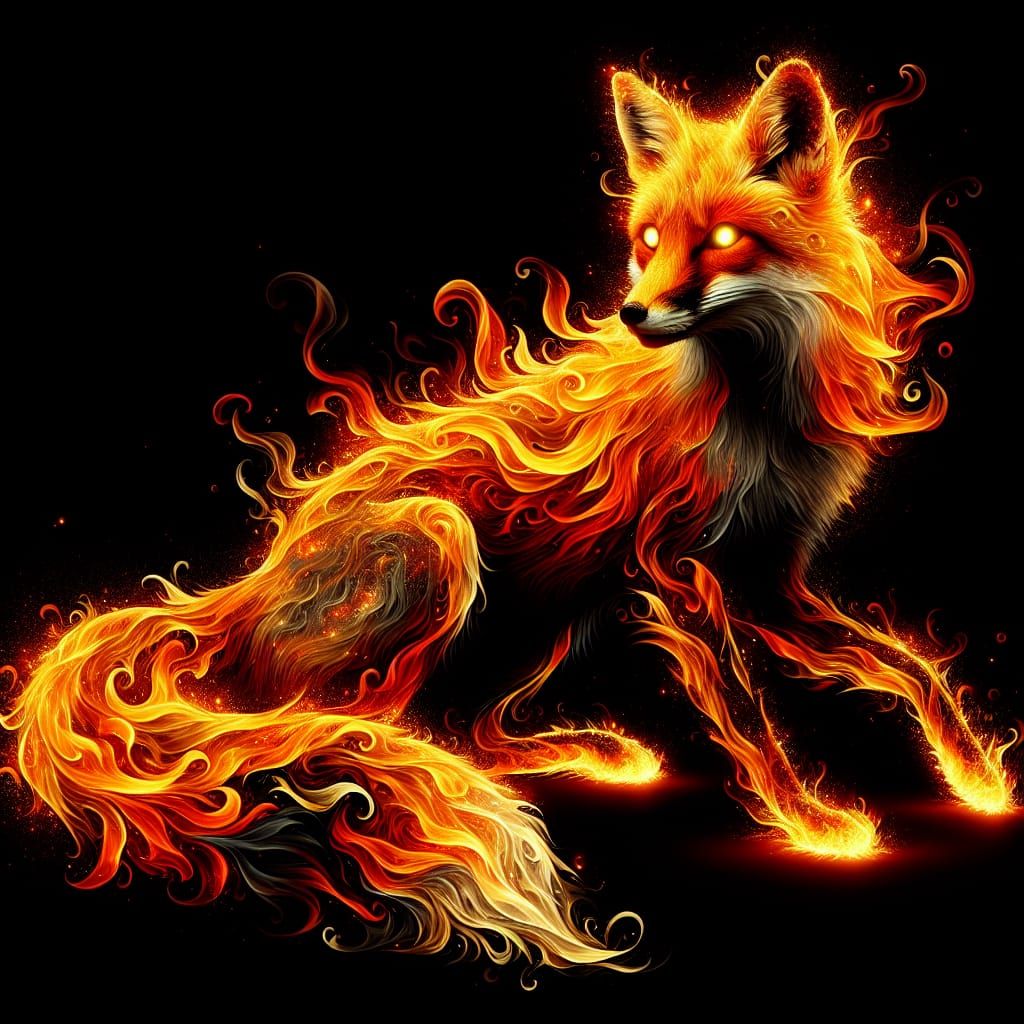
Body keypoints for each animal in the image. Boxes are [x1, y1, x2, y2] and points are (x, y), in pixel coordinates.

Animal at [1, 60, 1013, 975]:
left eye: (723, 238)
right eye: (648, 239)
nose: (635, 312)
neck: (758, 403)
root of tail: (242, 591)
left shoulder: (770, 581)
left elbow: (910, 670)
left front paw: (977, 776)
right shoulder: (681, 573)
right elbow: (753, 721)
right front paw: (814, 822)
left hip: (553, 610)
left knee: (466, 725)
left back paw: (580, 752)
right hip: (446, 544)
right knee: (331, 722)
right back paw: (401, 786)